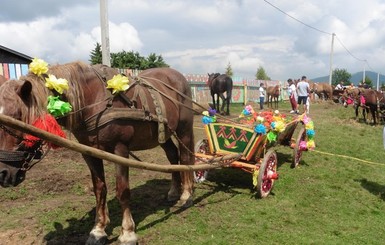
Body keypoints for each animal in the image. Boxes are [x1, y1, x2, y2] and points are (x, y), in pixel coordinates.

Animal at [0, 61, 194, 245]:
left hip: (184, 130)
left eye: (17, 118)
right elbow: (99, 189)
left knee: (186, 158)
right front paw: (98, 231)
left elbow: (123, 190)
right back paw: (174, 191)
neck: (94, 99)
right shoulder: (89, 152)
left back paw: (186, 195)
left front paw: (128, 233)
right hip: (164, 134)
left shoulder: (120, 149)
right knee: (173, 156)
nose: (3, 174)